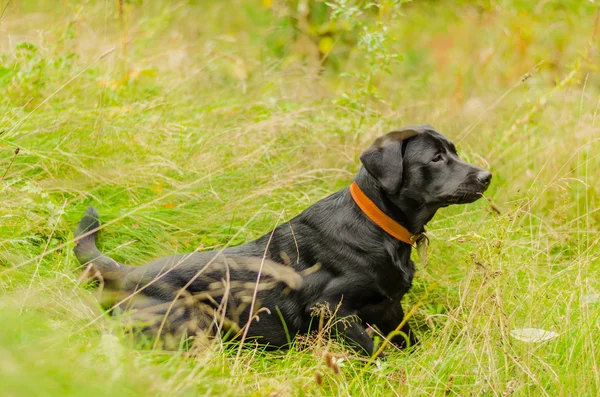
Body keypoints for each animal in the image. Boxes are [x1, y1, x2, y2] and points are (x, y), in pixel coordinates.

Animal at [74, 124, 492, 356]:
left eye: (453, 151)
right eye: (436, 158)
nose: (487, 176)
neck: (378, 227)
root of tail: (126, 274)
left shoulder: (390, 306)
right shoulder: (330, 308)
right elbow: (373, 350)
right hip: (191, 321)